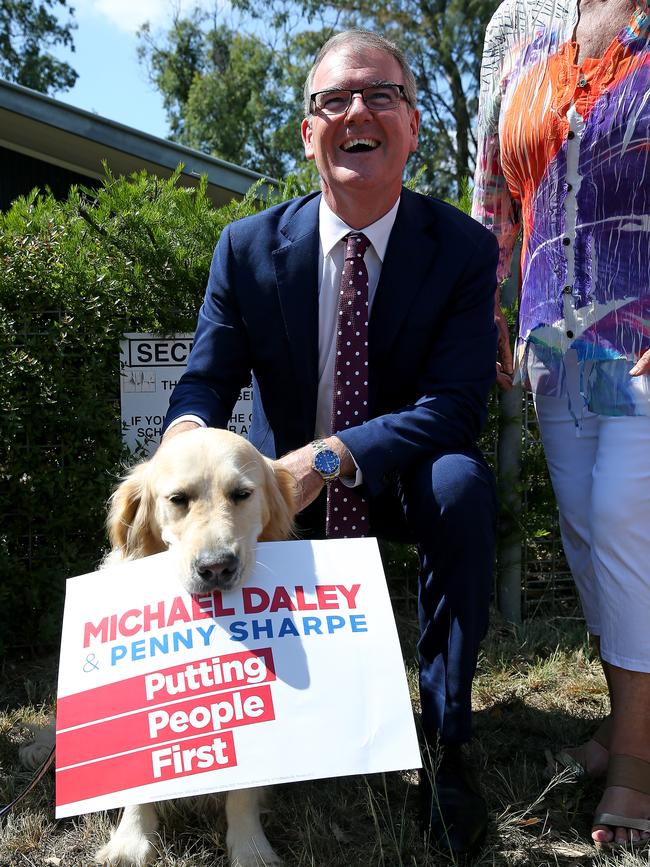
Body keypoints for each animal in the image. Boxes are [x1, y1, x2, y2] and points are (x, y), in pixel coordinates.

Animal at [22, 428, 296, 867]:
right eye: (178, 499)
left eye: (241, 494)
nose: (216, 567)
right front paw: (130, 842)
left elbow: (244, 791)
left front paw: (251, 847)